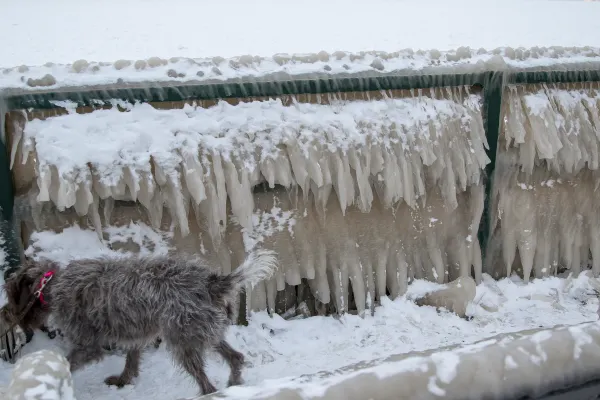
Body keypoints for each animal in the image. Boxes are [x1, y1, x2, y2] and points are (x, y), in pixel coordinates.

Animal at [1, 252, 278, 396]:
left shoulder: (88, 346)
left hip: (182, 339)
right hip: (200, 330)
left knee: (206, 381)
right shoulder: (134, 334)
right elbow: (131, 360)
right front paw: (123, 381)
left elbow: (69, 362)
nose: (9, 315)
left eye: (12, 294)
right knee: (236, 357)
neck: (52, 284)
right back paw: (234, 383)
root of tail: (210, 281)